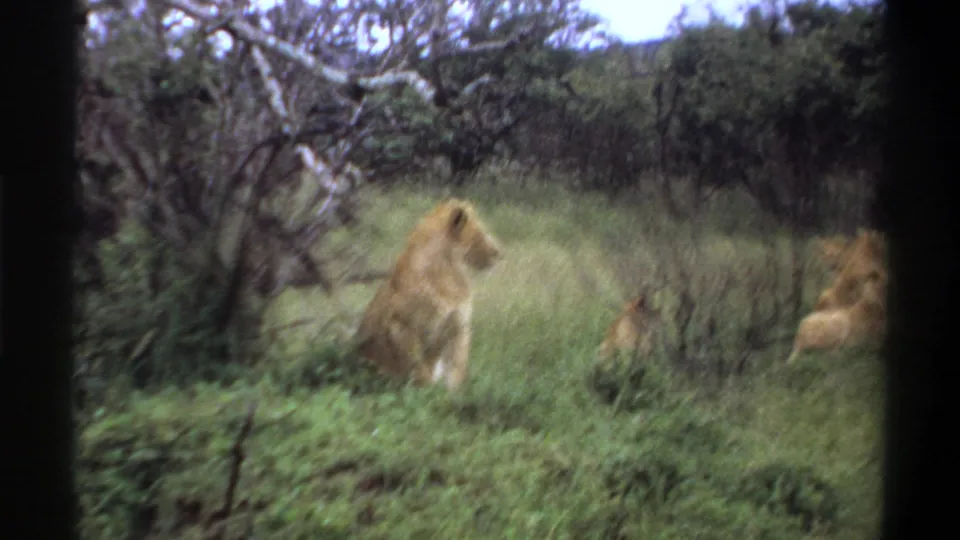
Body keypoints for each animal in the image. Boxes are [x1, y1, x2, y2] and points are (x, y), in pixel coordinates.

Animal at [353, 198, 503, 391]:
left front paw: (452, 394)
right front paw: (427, 392)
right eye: (480, 233)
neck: (450, 274)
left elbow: (456, 369)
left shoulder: (459, 327)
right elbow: (420, 370)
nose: (499, 253)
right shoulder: (401, 327)